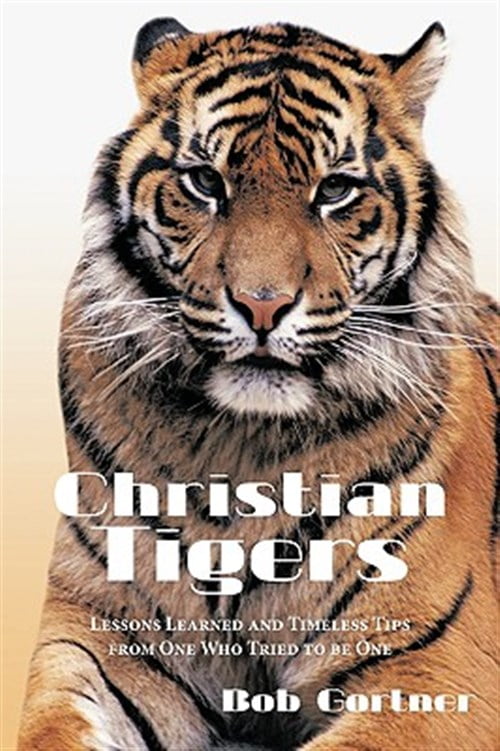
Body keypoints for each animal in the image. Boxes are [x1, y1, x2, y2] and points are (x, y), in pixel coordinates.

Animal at [18, 16, 498, 751]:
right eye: (204, 182)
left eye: (334, 190)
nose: (262, 305)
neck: (239, 448)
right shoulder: (99, 634)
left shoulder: (434, 669)